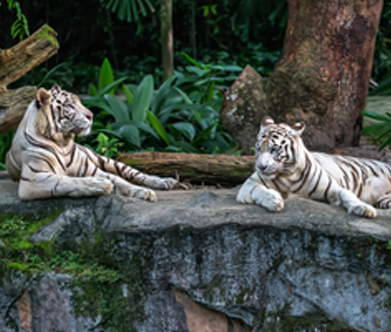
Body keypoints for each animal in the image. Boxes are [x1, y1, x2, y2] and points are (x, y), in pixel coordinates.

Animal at [5, 84, 178, 201]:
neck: (63, 143)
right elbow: (68, 181)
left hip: (105, 160)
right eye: (69, 105)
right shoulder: (33, 179)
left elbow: (120, 180)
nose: (91, 115)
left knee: (135, 174)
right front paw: (101, 185)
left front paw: (144, 192)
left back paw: (166, 182)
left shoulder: (92, 169)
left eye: (80, 102)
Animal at [237, 115, 391, 219]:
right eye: (258, 148)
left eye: (273, 149)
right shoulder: (249, 184)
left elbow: (347, 194)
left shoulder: (333, 188)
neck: (288, 175)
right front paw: (273, 201)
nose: (260, 167)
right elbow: (259, 190)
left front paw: (364, 208)